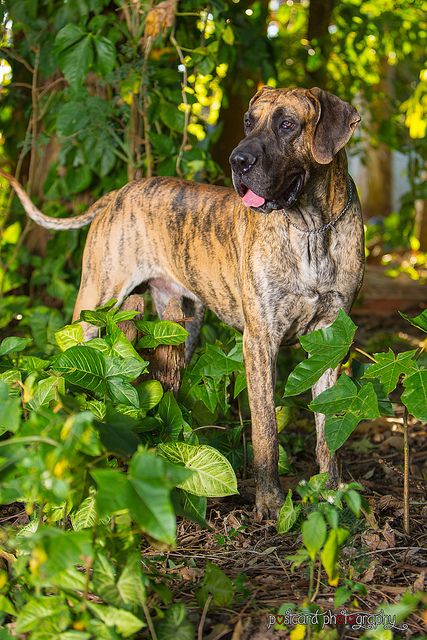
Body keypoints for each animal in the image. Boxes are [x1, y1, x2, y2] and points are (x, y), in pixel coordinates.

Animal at [2, 87, 364, 520]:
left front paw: (333, 493)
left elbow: (329, 428)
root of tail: (119, 193)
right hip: (94, 302)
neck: (312, 227)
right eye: (248, 122)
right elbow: (266, 431)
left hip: (180, 326)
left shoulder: (331, 340)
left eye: (288, 124)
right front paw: (270, 502)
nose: (238, 161)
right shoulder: (260, 342)